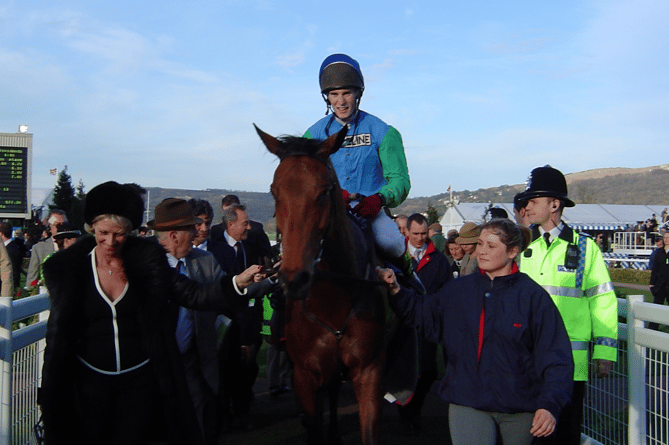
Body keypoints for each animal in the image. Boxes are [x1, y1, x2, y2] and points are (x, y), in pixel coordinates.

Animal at [256, 125, 386, 444]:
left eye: (325, 191)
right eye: (274, 191)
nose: (294, 278)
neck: (331, 301)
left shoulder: (369, 371)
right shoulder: (303, 376)